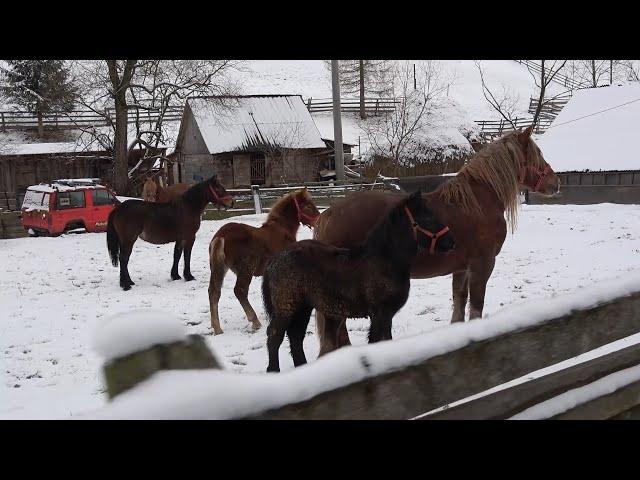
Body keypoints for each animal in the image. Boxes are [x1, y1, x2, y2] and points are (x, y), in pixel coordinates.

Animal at [106, 175, 234, 290]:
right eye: (218, 189)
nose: (231, 202)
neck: (188, 206)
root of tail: (118, 208)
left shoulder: (180, 238)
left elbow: (177, 255)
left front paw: (175, 276)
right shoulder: (189, 237)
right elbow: (187, 256)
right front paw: (188, 276)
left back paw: (129, 282)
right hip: (128, 240)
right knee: (123, 259)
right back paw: (125, 285)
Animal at [209, 188, 320, 334]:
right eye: (307, 206)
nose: (318, 221)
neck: (282, 230)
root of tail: (221, 236)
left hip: (219, 268)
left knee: (214, 292)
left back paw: (217, 328)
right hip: (246, 270)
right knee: (240, 291)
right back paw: (255, 322)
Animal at [262, 190, 458, 372]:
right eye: (428, 218)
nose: (451, 243)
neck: (384, 261)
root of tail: (273, 260)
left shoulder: (385, 314)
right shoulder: (379, 313)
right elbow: (377, 340)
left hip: (303, 307)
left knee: (295, 337)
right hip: (286, 307)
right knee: (274, 335)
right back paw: (274, 370)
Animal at [316, 125, 560, 354]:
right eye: (537, 153)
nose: (555, 182)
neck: (478, 202)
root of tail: (328, 214)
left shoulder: (461, 268)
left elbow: (459, 302)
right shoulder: (482, 264)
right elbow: (476, 306)